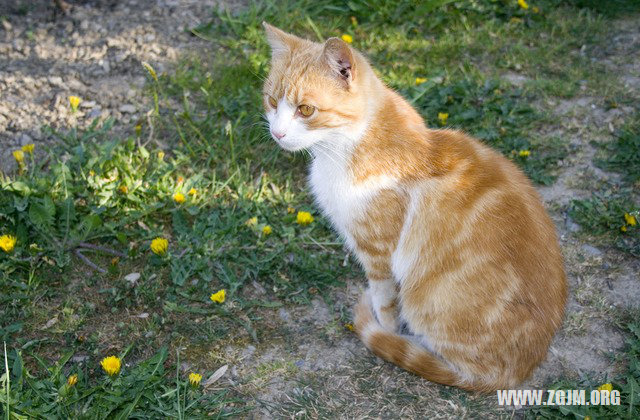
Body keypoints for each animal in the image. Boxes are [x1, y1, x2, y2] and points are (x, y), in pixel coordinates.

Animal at [262, 22, 568, 390]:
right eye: (271, 101)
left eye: (305, 110)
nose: (277, 133)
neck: (349, 145)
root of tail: (514, 374)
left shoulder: (378, 252)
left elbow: (385, 301)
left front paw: (387, 329)